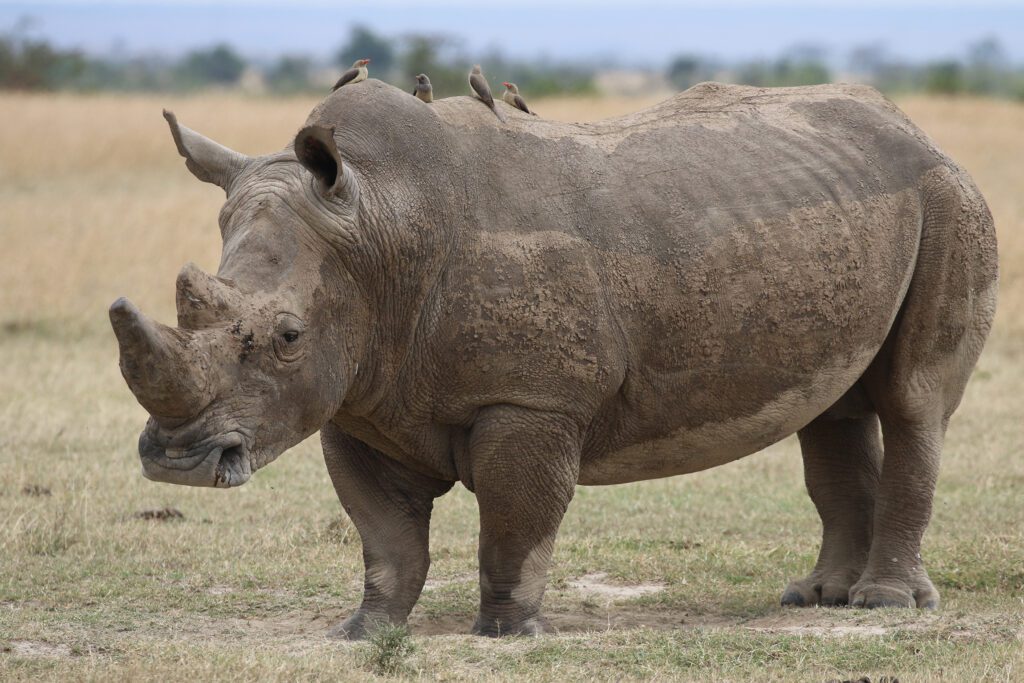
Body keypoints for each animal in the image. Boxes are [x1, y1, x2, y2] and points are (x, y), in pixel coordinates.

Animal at [110, 80, 997, 638]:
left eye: (288, 336)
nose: (179, 463)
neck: (379, 228)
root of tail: (920, 132)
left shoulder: (531, 399)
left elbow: (516, 518)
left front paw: (509, 632)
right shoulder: (360, 397)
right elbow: (385, 534)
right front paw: (362, 630)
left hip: (950, 198)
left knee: (913, 401)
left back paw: (884, 607)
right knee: (834, 410)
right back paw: (816, 600)